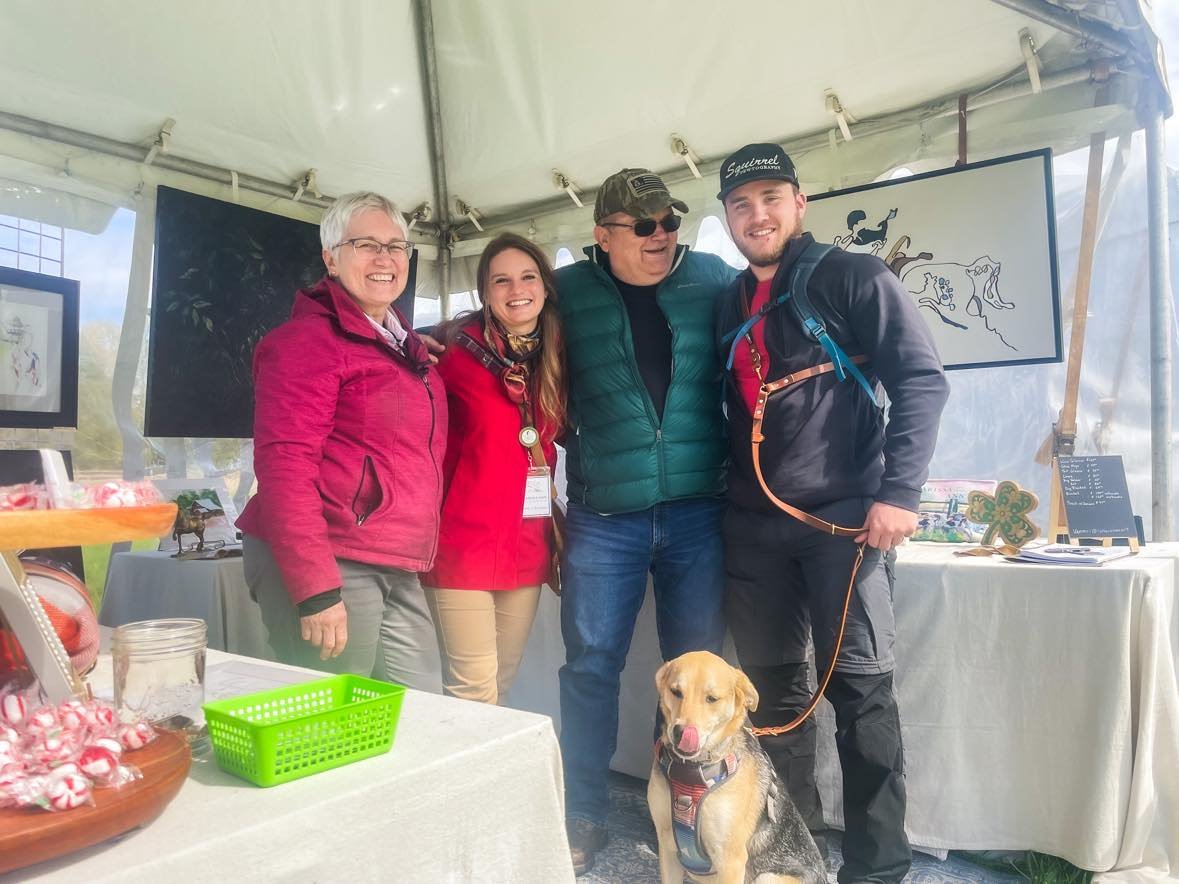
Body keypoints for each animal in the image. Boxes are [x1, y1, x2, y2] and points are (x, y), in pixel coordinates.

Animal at [650, 650, 825, 884]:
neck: (692, 772)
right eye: (676, 692)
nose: (681, 733)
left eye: (712, 699)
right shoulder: (668, 847)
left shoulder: (730, 860)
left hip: (767, 877)